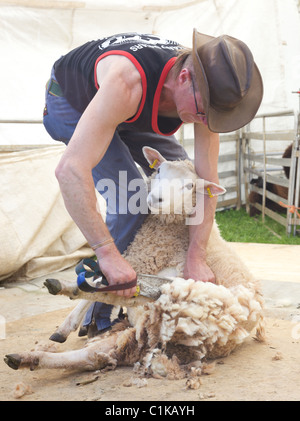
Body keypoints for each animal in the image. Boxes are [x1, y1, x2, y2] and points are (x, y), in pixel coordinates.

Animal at [4, 146, 264, 376]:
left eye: (190, 186)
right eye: (158, 170)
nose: (156, 198)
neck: (170, 228)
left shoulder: (161, 268)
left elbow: (111, 282)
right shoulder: (135, 259)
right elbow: (102, 277)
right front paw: (66, 326)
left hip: (185, 300)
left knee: (136, 295)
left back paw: (66, 289)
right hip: (143, 334)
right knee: (94, 355)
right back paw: (27, 358)